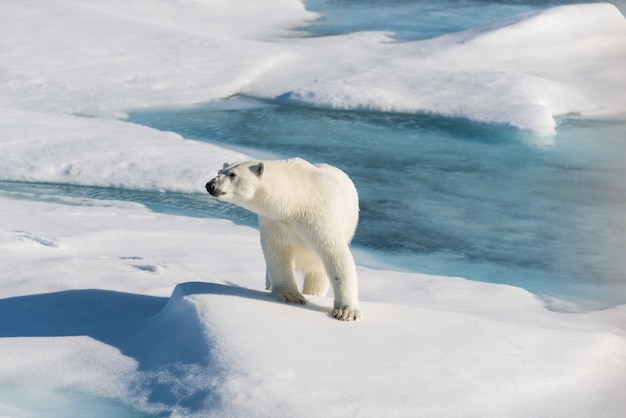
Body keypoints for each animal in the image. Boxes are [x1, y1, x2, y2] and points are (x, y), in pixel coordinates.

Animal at [206, 157, 360, 320]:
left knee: (317, 277)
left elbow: (335, 253)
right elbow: (277, 252)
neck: (298, 200)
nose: (210, 185)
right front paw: (291, 296)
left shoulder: (321, 217)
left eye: (233, 174)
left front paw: (346, 311)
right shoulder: (274, 221)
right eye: (219, 171)